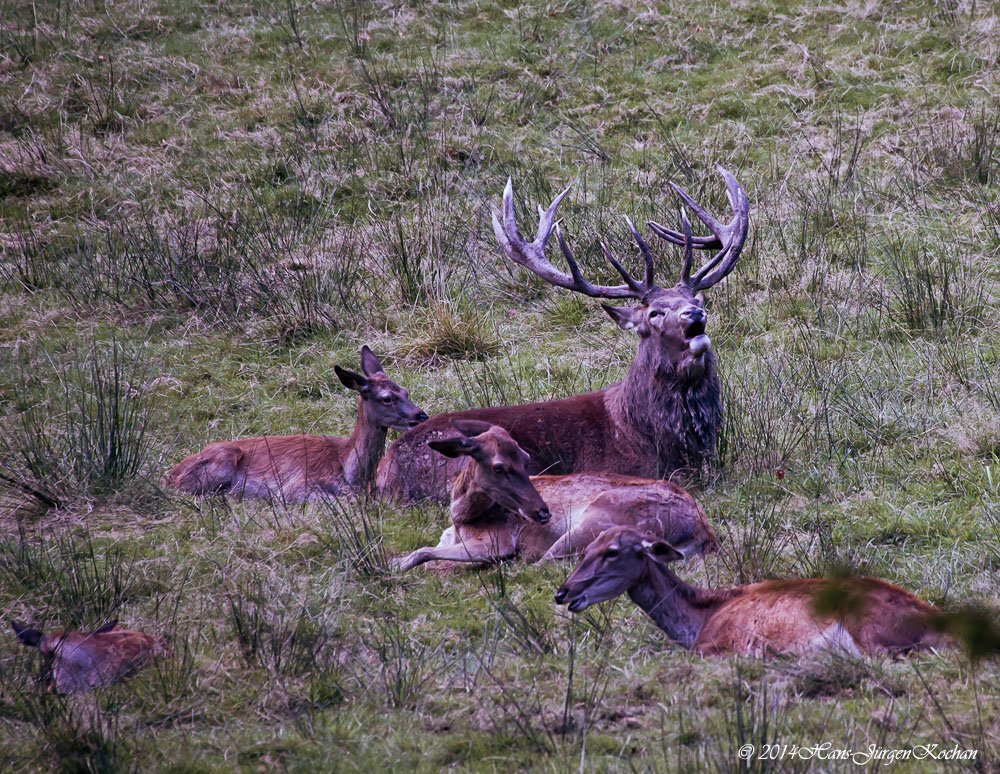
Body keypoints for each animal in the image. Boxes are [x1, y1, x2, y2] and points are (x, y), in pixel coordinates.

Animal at [163, 348, 426, 504]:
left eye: (405, 391)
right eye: (387, 398)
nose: (421, 416)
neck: (349, 471)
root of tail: (170, 475)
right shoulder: (297, 484)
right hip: (222, 460)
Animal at [392, 422, 720, 572]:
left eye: (526, 459)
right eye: (499, 466)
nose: (542, 512)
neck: (461, 518)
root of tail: (704, 533)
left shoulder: (497, 541)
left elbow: (424, 553)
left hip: (600, 520)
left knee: (544, 563)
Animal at [556, 528, 952, 660]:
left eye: (611, 551)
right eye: (586, 547)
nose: (563, 592)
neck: (700, 619)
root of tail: (939, 621)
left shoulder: (714, 648)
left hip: (870, 632)